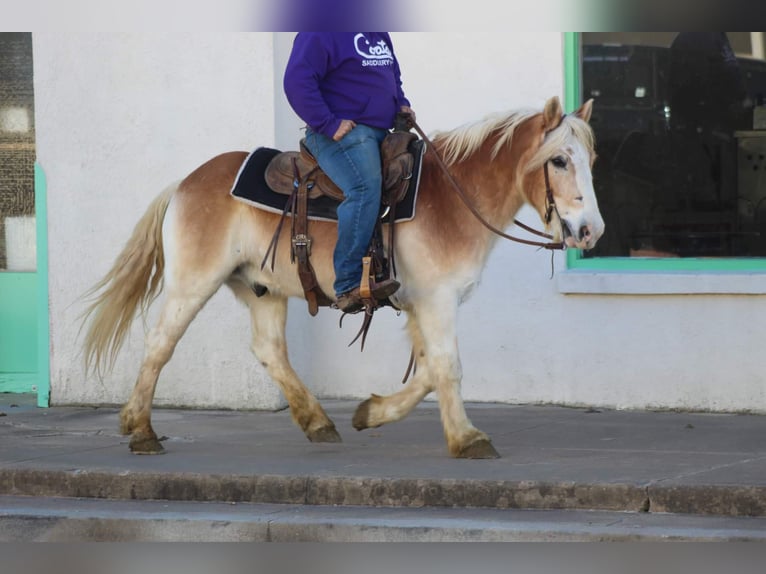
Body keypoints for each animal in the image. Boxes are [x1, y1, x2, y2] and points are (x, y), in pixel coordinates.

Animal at [79, 97, 608, 462]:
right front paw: (467, 438)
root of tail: (186, 183)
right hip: (193, 283)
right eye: (559, 160)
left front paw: (371, 413)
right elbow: (447, 367)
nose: (591, 231)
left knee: (269, 349)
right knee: (160, 344)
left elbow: (426, 370)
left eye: (590, 161)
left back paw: (317, 422)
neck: (452, 198)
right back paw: (141, 430)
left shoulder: (419, 303)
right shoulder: (437, 300)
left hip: (263, 288)